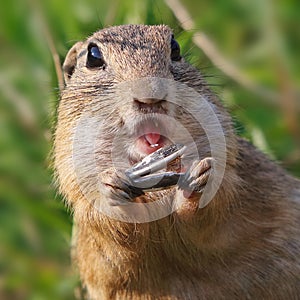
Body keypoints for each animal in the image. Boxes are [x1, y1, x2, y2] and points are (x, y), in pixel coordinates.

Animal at [54, 24, 300, 298]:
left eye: (175, 49)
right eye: (93, 56)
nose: (150, 97)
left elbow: (208, 216)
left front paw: (200, 176)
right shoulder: (86, 203)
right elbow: (116, 236)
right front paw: (113, 185)